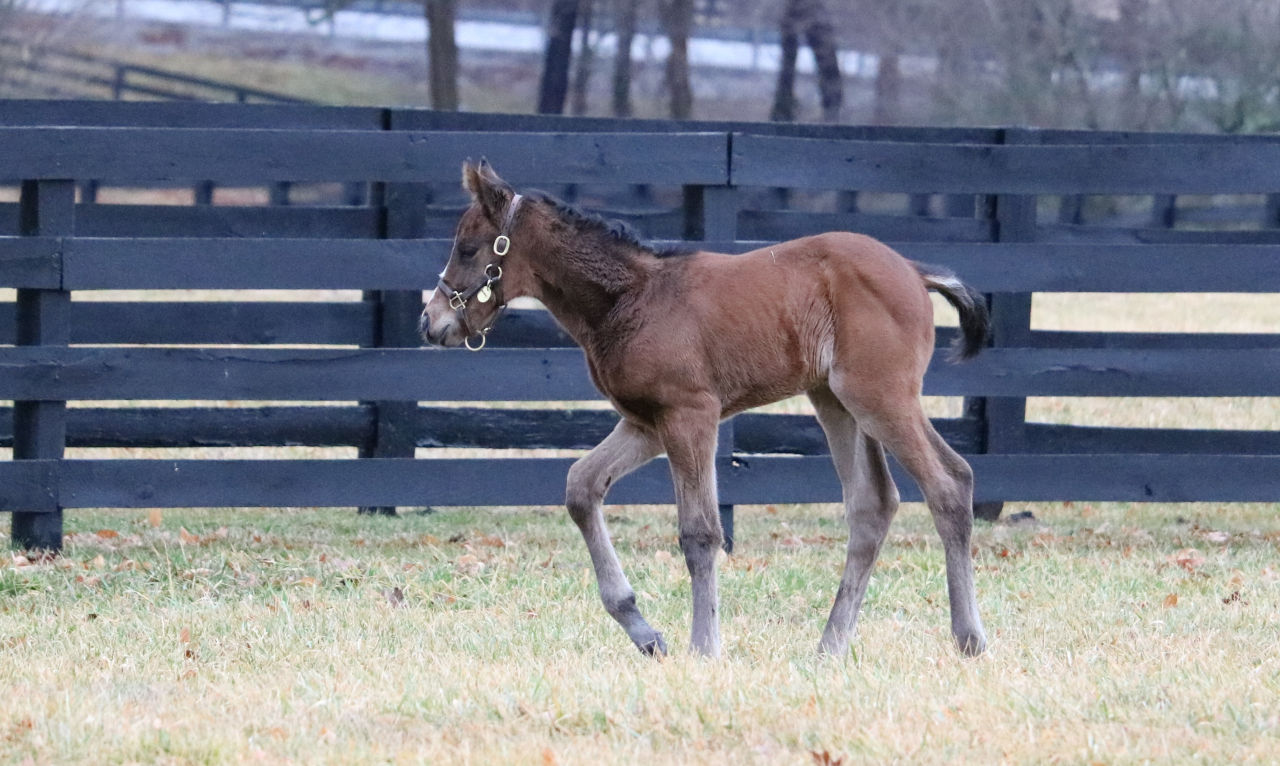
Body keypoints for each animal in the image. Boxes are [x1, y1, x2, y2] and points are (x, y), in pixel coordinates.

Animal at [419, 162, 988, 660]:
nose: (431, 322)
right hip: (837, 402)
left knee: (949, 483)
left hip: (881, 397)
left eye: (467, 247)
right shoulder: (646, 422)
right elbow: (582, 487)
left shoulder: (689, 414)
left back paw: (970, 639)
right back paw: (829, 648)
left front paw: (704, 647)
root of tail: (914, 270)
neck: (633, 298)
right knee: (873, 505)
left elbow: (700, 533)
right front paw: (646, 634)